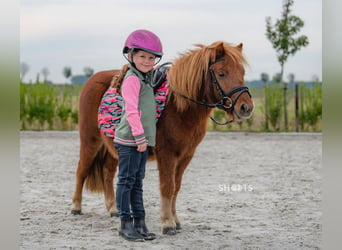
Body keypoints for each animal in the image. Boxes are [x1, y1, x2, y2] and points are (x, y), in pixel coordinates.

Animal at [71, 41, 254, 234]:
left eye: (242, 73)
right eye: (221, 73)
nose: (246, 107)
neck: (179, 106)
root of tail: (93, 80)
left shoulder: (185, 156)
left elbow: (176, 188)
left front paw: (175, 220)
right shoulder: (167, 155)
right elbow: (168, 187)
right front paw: (167, 223)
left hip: (112, 147)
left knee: (107, 173)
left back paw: (113, 209)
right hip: (90, 141)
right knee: (81, 170)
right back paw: (76, 207)